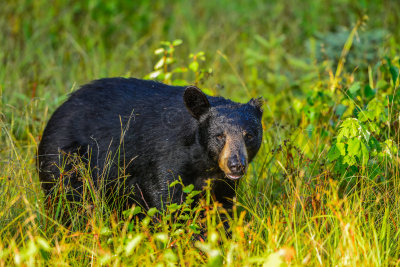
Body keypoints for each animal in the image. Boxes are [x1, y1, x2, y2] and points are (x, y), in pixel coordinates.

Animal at [36, 78, 262, 220]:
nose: (236, 165)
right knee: (69, 203)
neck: (203, 160)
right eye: (219, 136)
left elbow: (223, 207)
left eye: (249, 135)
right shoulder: (165, 157)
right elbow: (167, 200)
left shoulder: (222, 182)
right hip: (65, 161)